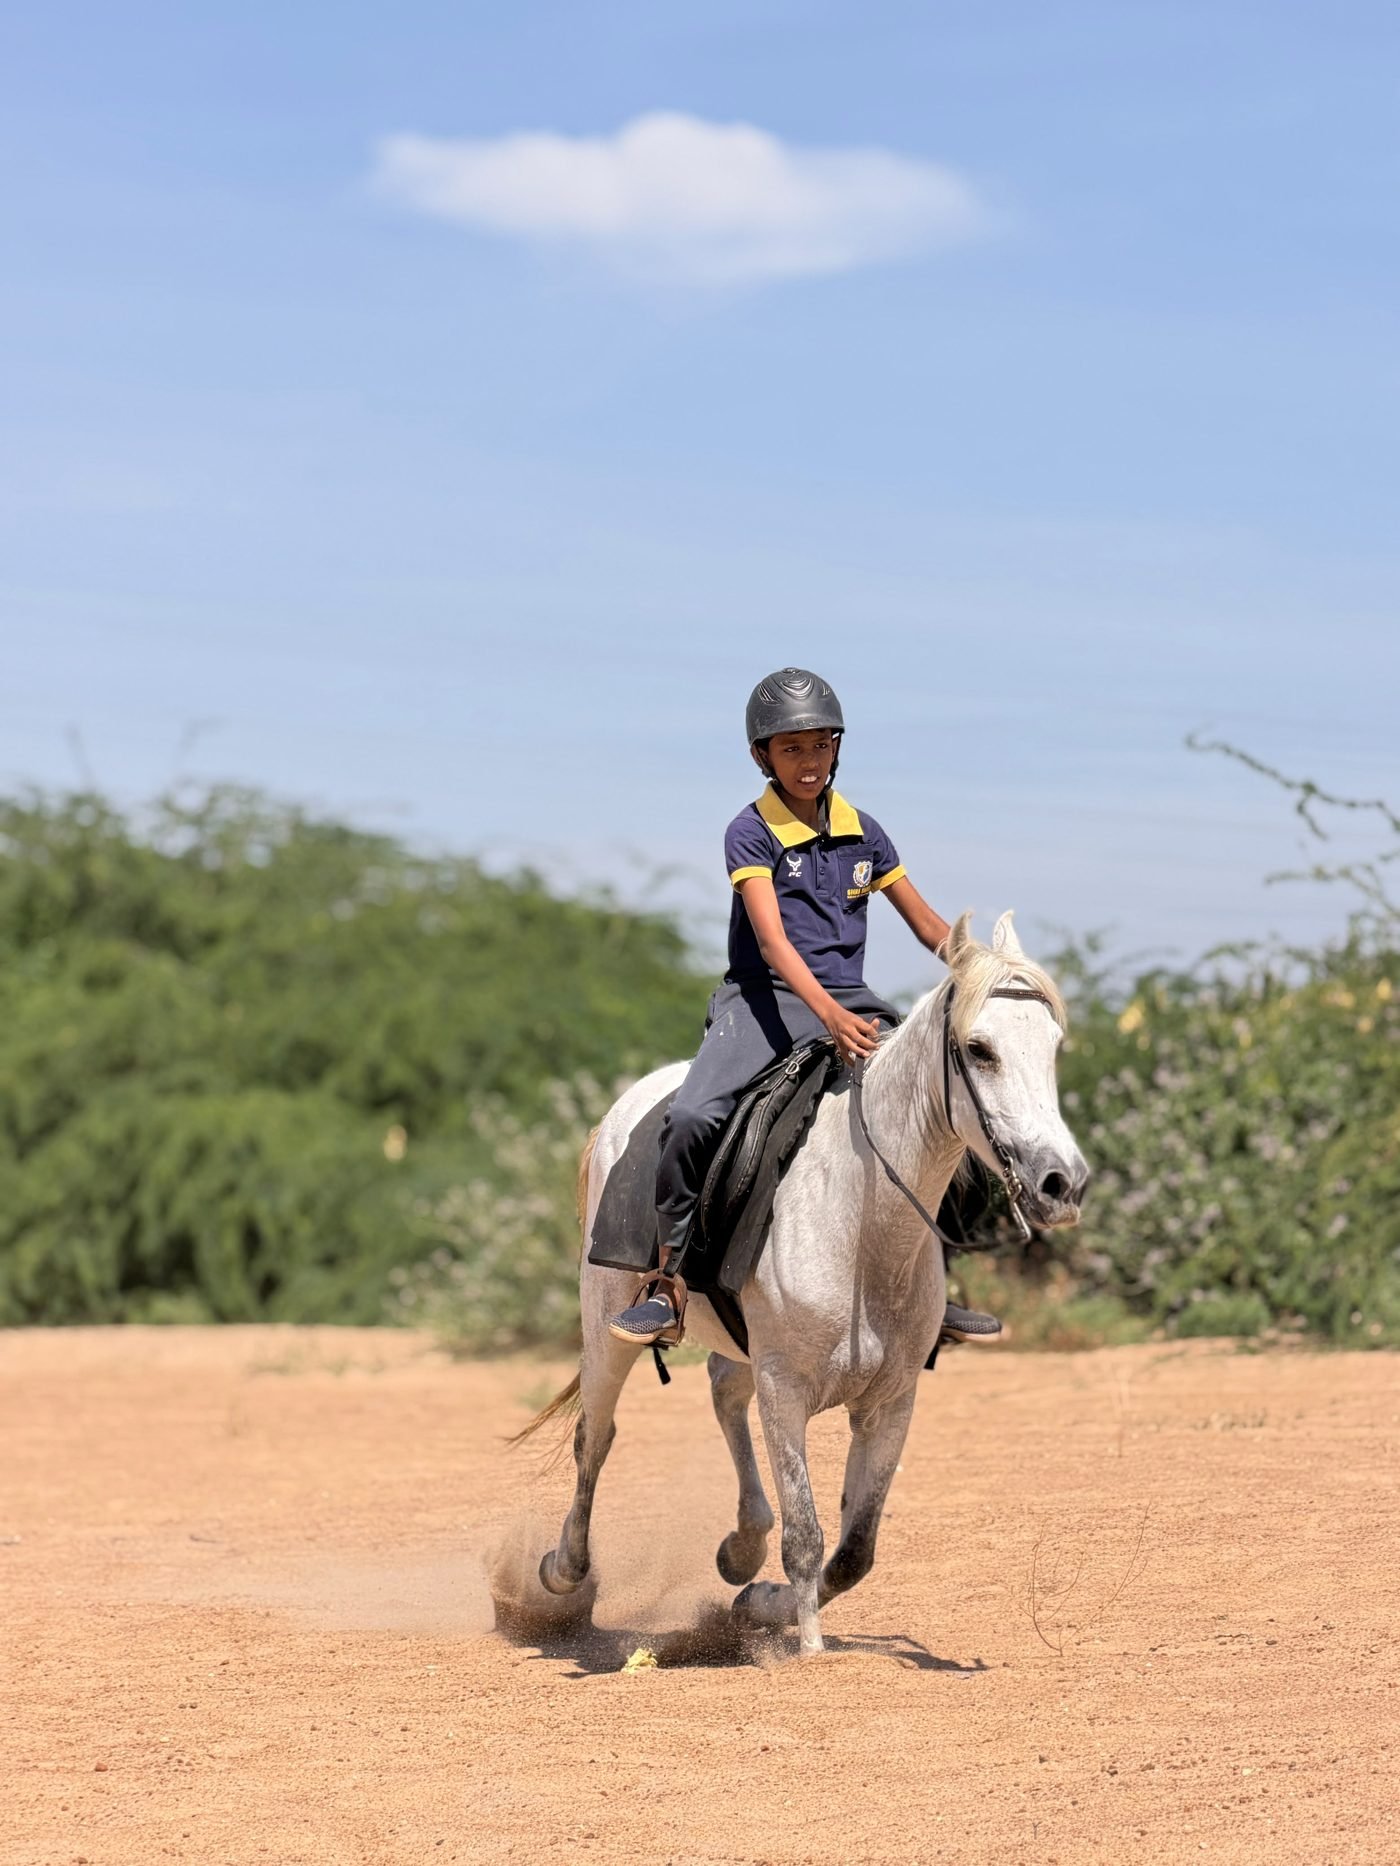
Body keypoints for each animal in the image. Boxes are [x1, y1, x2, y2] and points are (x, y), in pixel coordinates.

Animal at [520, 911, 1089, 1656]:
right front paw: (807, 1648)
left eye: (1052, 1047)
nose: (1063, 1184)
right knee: (597, 1434)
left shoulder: (890, 1402)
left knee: (722, 1395)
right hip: (608, 1327)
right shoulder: (785, 1391)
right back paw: (564, 1568)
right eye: (979, 1049)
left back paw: (741, 1547)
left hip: (739, 1347)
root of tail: (627, 1107)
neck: (862, 1225)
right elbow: (807, 1535)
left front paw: (763, 1604)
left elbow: (854, 1551)